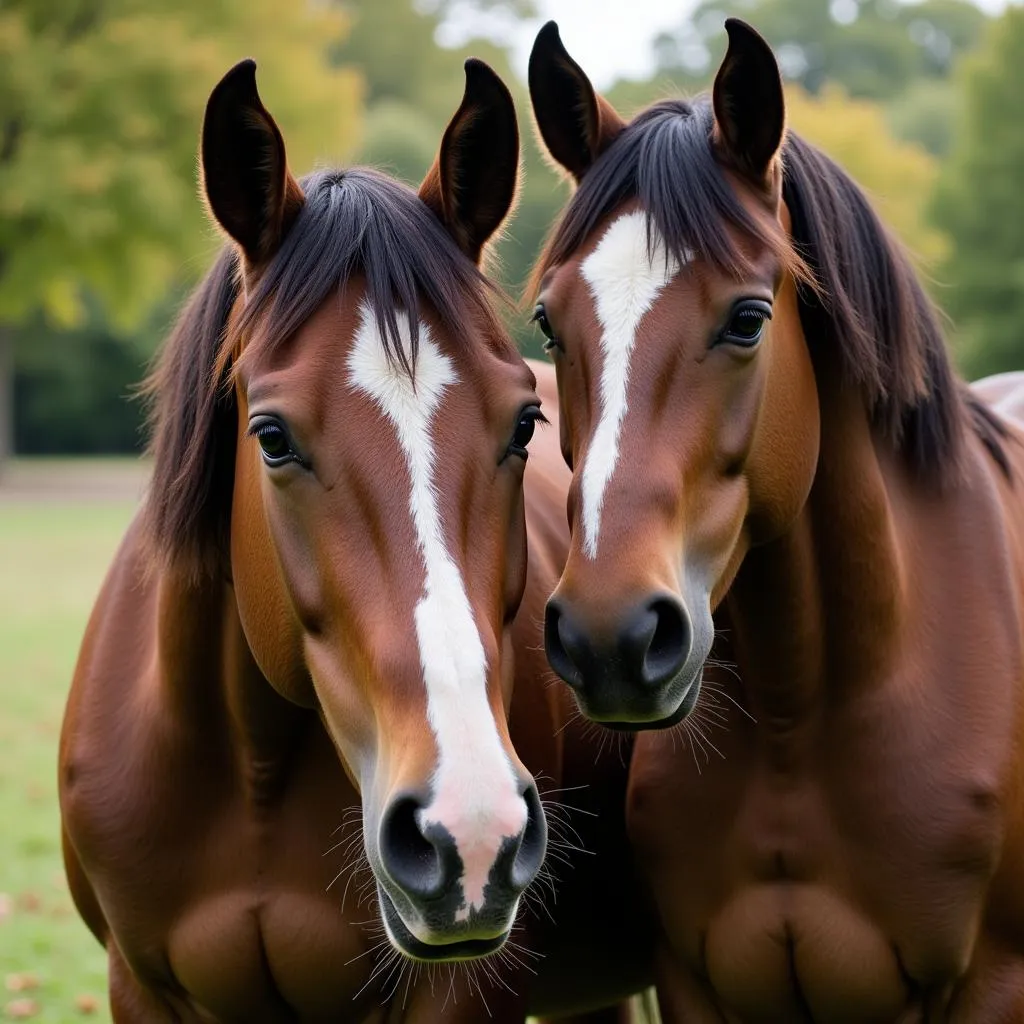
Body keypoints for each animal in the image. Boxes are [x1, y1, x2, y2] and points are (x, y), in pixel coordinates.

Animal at [524, 18, 1024, 1024]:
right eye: (551, 325)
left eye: (750, 318)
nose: (608, 637)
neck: (811, 716)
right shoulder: (697, 987)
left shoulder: (993, 989)